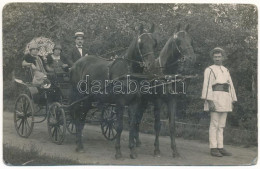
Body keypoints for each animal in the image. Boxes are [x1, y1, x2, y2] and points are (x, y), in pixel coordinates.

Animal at [69, 23, 157, 158]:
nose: (151, 65)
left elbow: (132, 125)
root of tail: (76, 64)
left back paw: (79, 143)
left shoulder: (135, 103)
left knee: (81, 119)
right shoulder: (120, 103)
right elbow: (119, 127)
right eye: (140, 43)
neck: (128, 72)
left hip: (88, 99)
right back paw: (79, 146)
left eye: (154, 43)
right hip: (79, 97)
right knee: (78, 117)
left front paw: (132, 151)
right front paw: (118, 151)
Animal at [129, 23, 196, 158]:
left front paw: (175, 150)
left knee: (137, 119)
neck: (166, 73)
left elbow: (172, 125)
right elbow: (157, 125)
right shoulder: (158, 101)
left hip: (143, 102)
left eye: (190, 40)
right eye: (178, 40)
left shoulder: (172, 101)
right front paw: (156, 149)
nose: (191, 58)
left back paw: (137, 141)